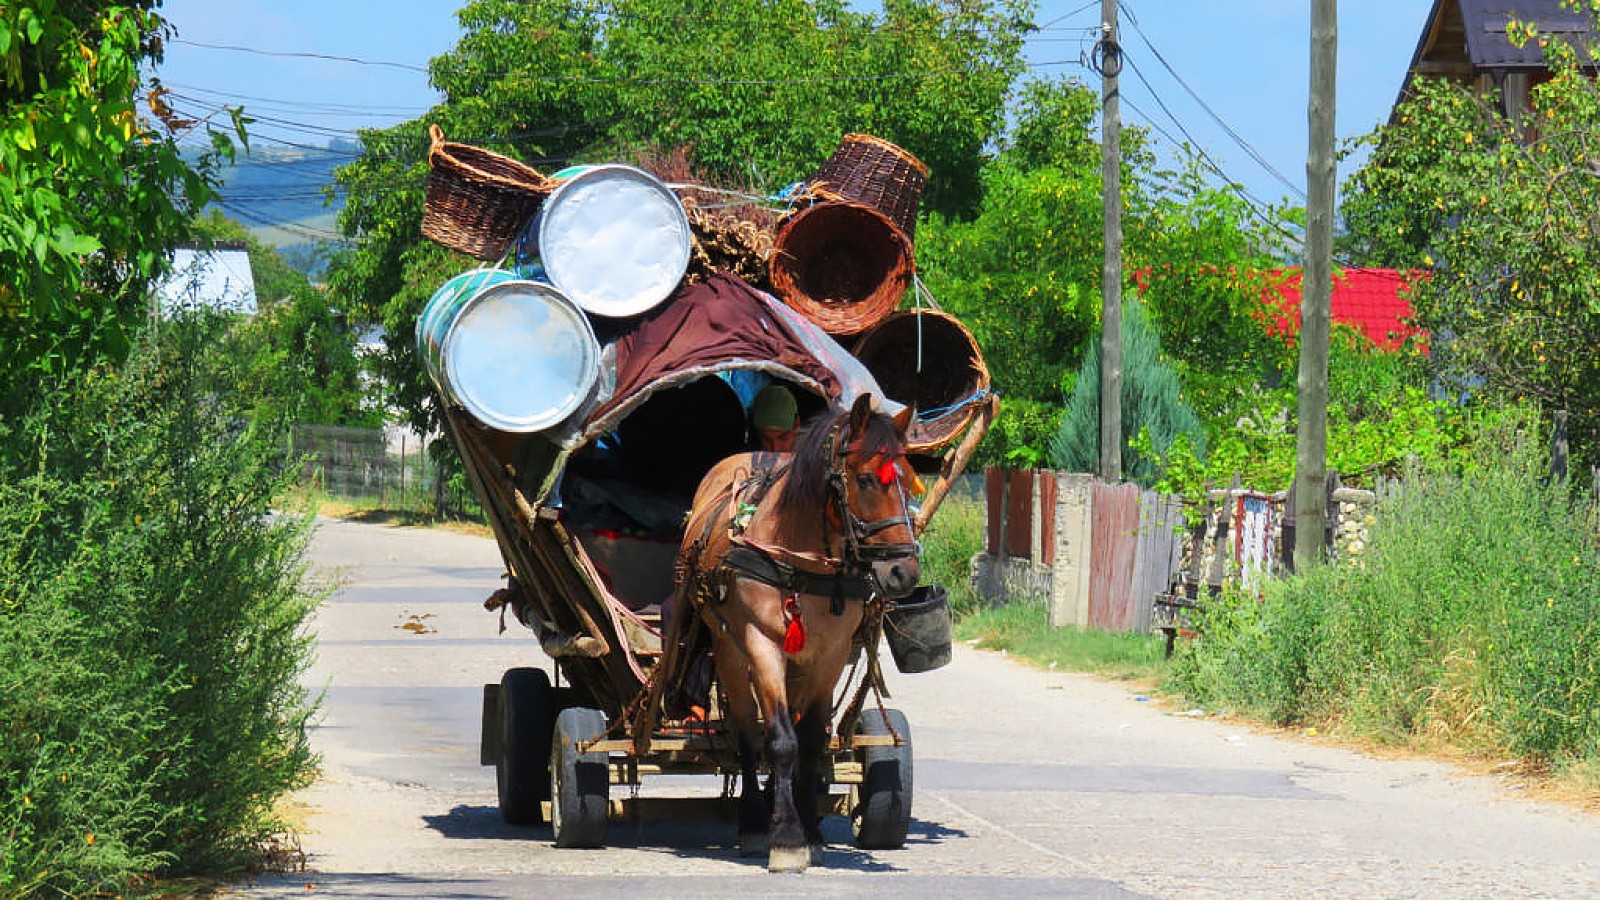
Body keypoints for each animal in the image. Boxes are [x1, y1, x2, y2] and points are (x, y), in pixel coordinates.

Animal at [675, 392, 928, 871]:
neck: (798, 559)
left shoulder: (828, 655)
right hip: (730, 651)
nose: (903, 572)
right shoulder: (762, 647)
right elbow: (779, 741)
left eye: (909, 481)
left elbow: (810, 740)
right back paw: (755, 820)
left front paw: (809, 829)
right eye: (866, 479)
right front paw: (787, 839)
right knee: (746, 732)